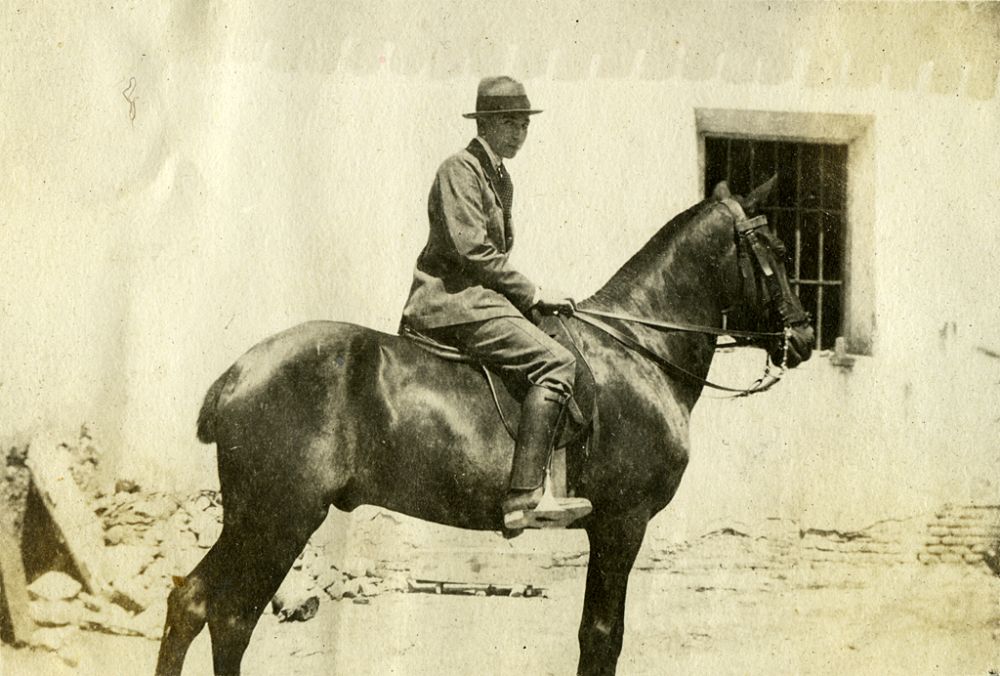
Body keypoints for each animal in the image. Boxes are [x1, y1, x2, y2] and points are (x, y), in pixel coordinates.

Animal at [154, 177, 812, 672]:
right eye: (778, 251)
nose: (804, 338)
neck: (637, 348)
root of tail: (240, 372)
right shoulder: (622, 523)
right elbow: (602, 637)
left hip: (254, 518)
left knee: (194, 604)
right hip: (278, 517)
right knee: (229, 615)